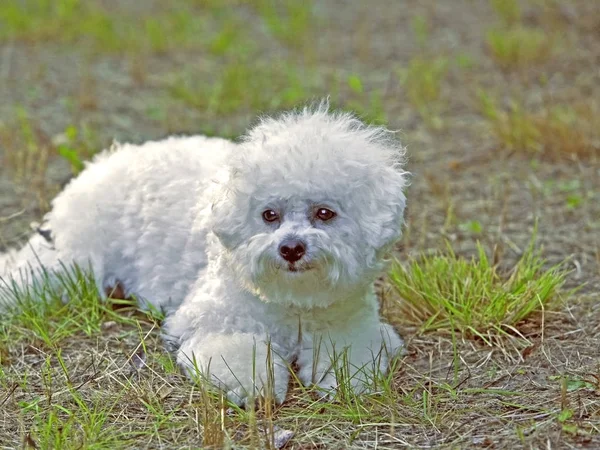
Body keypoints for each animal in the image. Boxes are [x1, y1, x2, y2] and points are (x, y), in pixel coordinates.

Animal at [0, 104, 408, 404]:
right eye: (269, 215)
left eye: (324, 213)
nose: (291, 248)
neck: (294, 301)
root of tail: (103, 163)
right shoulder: (216, 323)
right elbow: (244, 358)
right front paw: (260, 387)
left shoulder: (350, 325)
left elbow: (350, 358)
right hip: (70, 264)